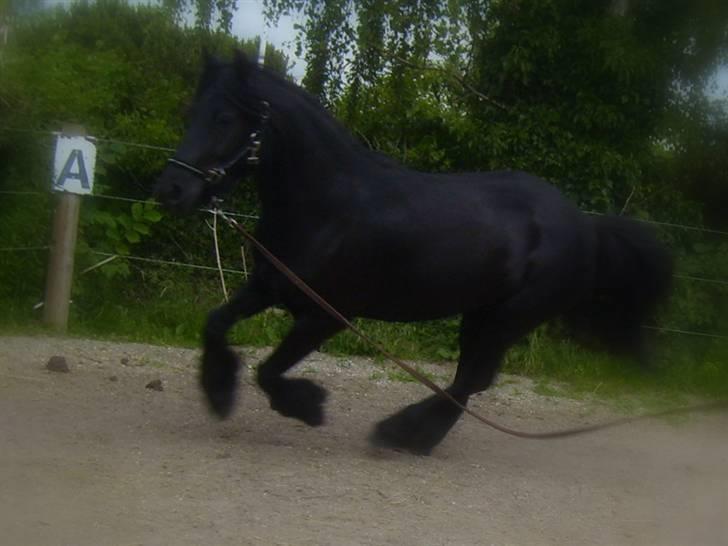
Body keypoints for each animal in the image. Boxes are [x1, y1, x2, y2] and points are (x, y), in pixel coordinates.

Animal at [154, 51, 673, 455]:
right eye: (190, 111)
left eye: (224, 117)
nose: (172, 190)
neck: (327, 206)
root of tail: (585, 225)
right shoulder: (270, 286)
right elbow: (215, 324)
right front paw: (218, 390)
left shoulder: (327, 316)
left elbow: (268, 372)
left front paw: (307, 407)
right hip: (481, 315)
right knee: (470, 380)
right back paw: (414, 435)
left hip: (506, 319)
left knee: (470, 381)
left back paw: (401, 433)